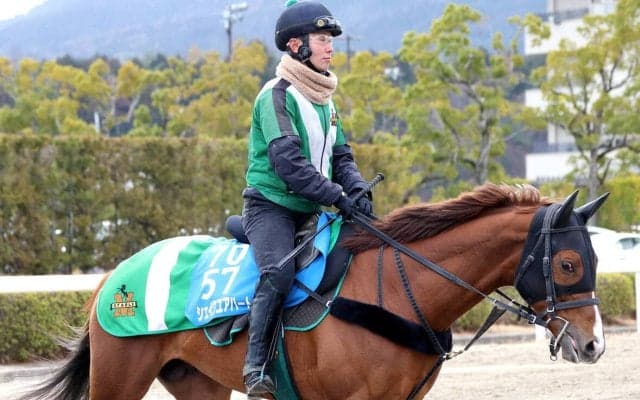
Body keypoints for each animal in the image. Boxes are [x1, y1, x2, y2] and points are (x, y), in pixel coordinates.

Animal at [19, 183, 608, 400]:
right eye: (569, 262)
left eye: (596, 260)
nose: (593, 344)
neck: (396, 289)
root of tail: (113, 276)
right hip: (119, 378)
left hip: (197, 383)